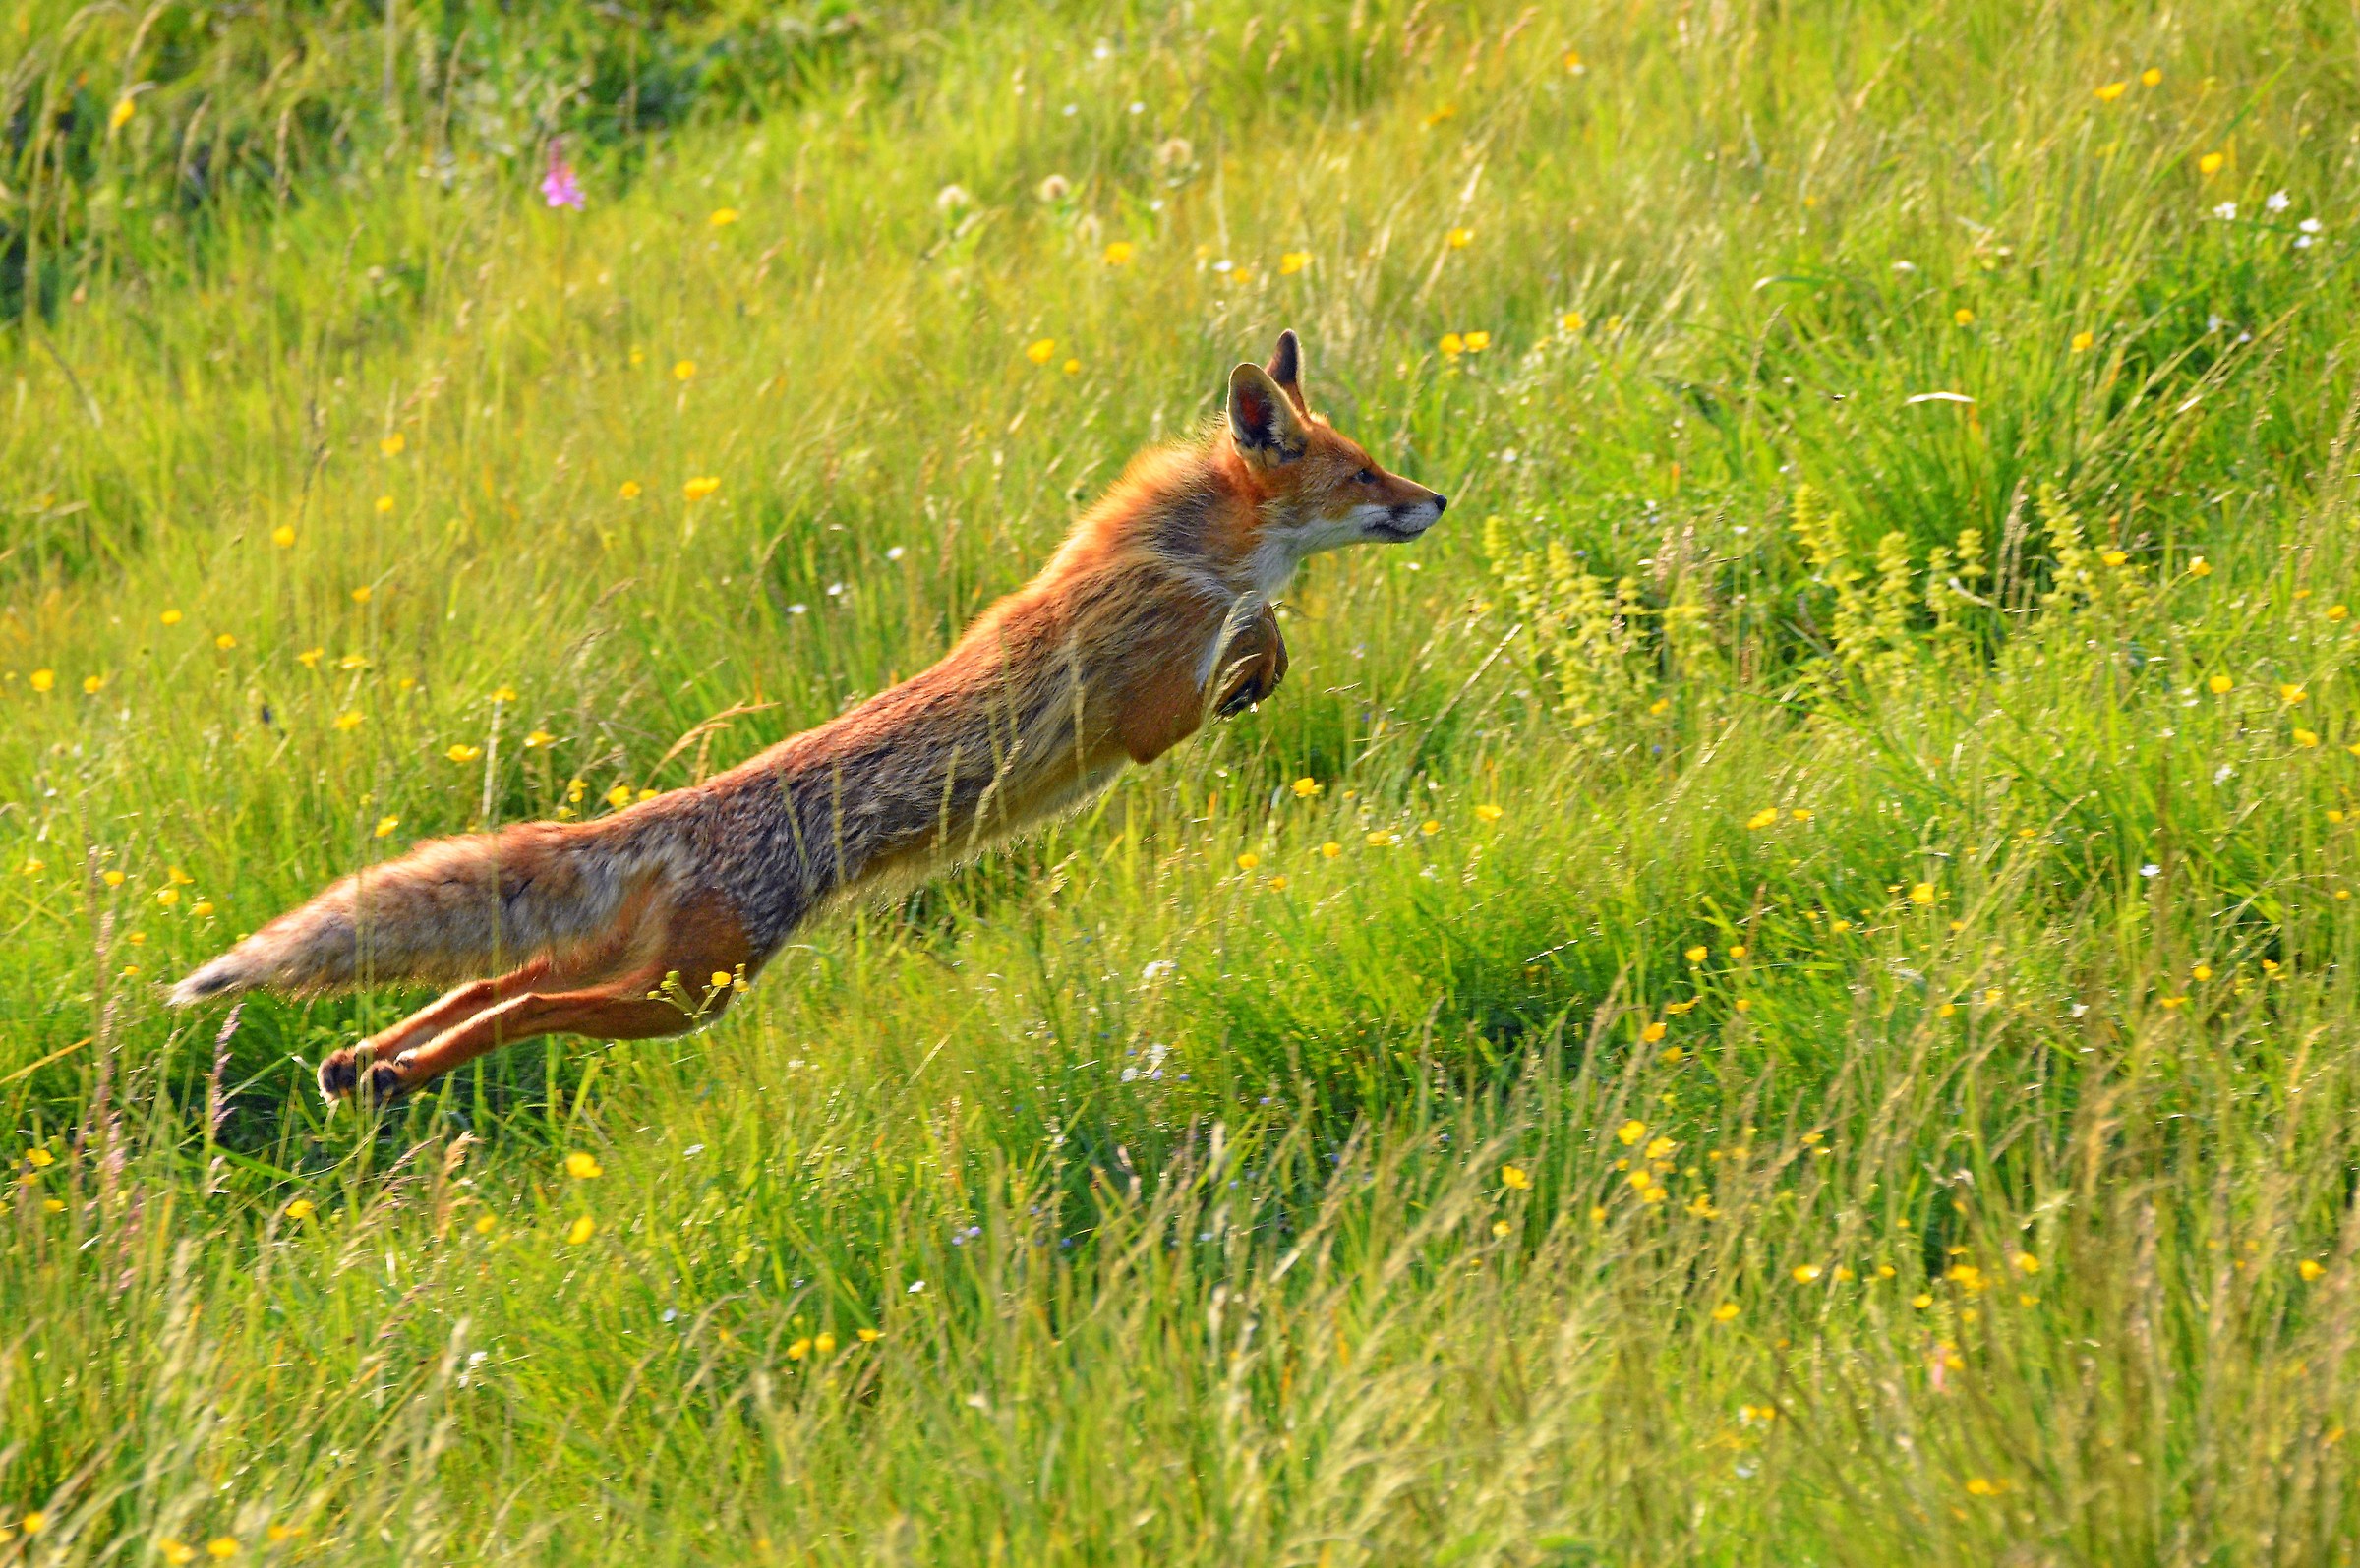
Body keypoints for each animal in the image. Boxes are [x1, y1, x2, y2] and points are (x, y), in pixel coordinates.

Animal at [170, 330, 1448, 1104]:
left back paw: (365, 1068)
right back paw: (391, 1074)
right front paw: (1258, 668)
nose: (1438, 496)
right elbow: (1249, 632)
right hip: (691, 993)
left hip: (647, 965)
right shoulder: (1145, 711)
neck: (1182, 552)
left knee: (483, 983)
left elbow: (1261, 625)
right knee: (527, 1001)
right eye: (1363, 473)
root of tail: (669, 813)